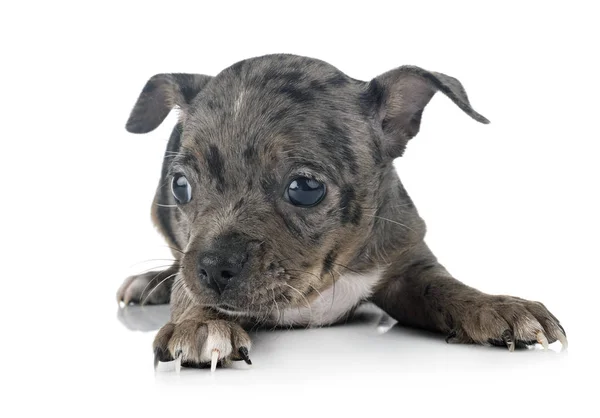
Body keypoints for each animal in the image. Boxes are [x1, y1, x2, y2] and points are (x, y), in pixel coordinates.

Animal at [116, 54, 568, 368]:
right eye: (181, 186)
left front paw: (498, 305)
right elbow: (188, 292)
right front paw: (199, 323)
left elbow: (448, 287)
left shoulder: (408, 265)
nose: (212, 267)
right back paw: (150, 282)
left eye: (305, 189)